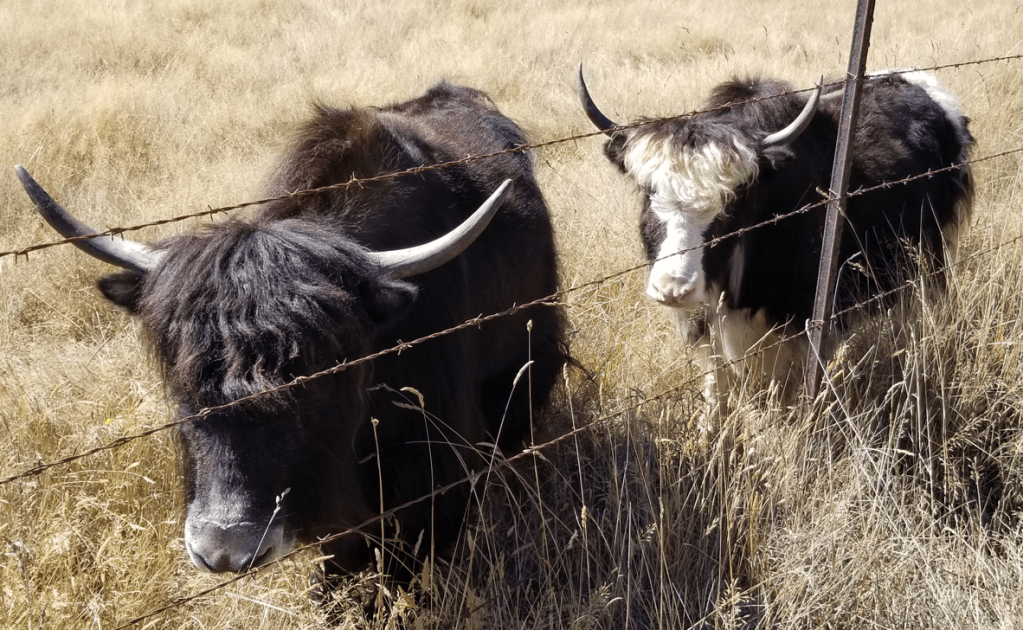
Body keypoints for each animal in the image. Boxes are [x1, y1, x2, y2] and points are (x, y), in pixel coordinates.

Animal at [578, 66, 973, 406]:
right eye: (649, 192)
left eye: (732, 202)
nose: (674, 289)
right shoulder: (709, 325)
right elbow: (715, 387)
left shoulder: (803, 321)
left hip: (933, 252)